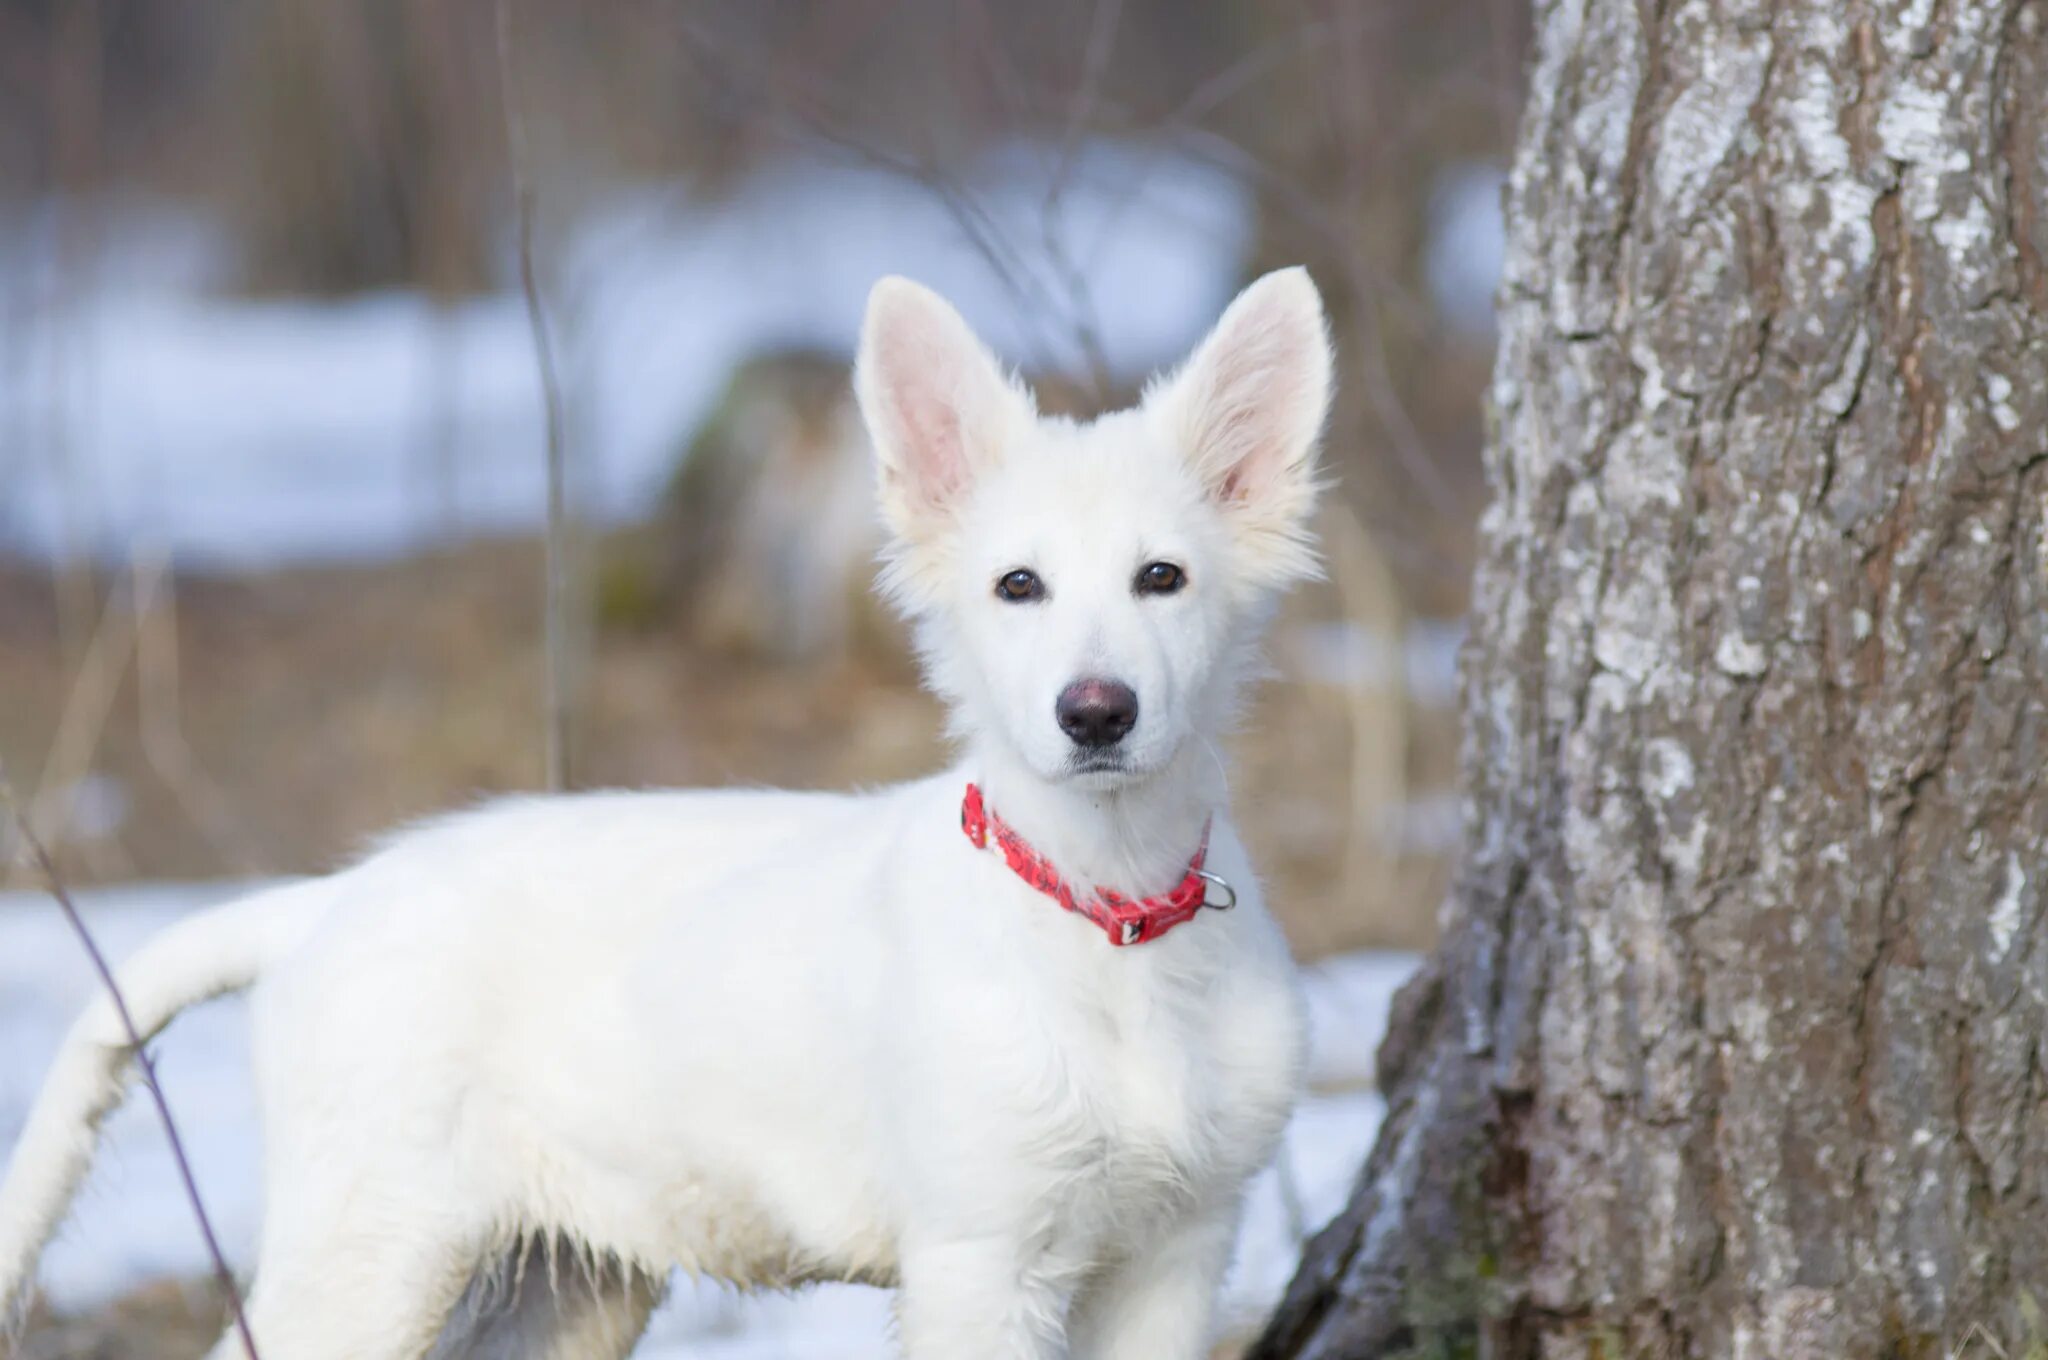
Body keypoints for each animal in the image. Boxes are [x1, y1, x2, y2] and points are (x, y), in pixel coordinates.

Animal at [0, 268, 1335, 1360]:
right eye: (1018, 586)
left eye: (1162, 578)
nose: (1094, 714)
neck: (1107, 920)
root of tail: (321, 901)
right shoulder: (976, 1260)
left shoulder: (1177, 1252)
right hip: (370, 1251)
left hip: (564, 1284)